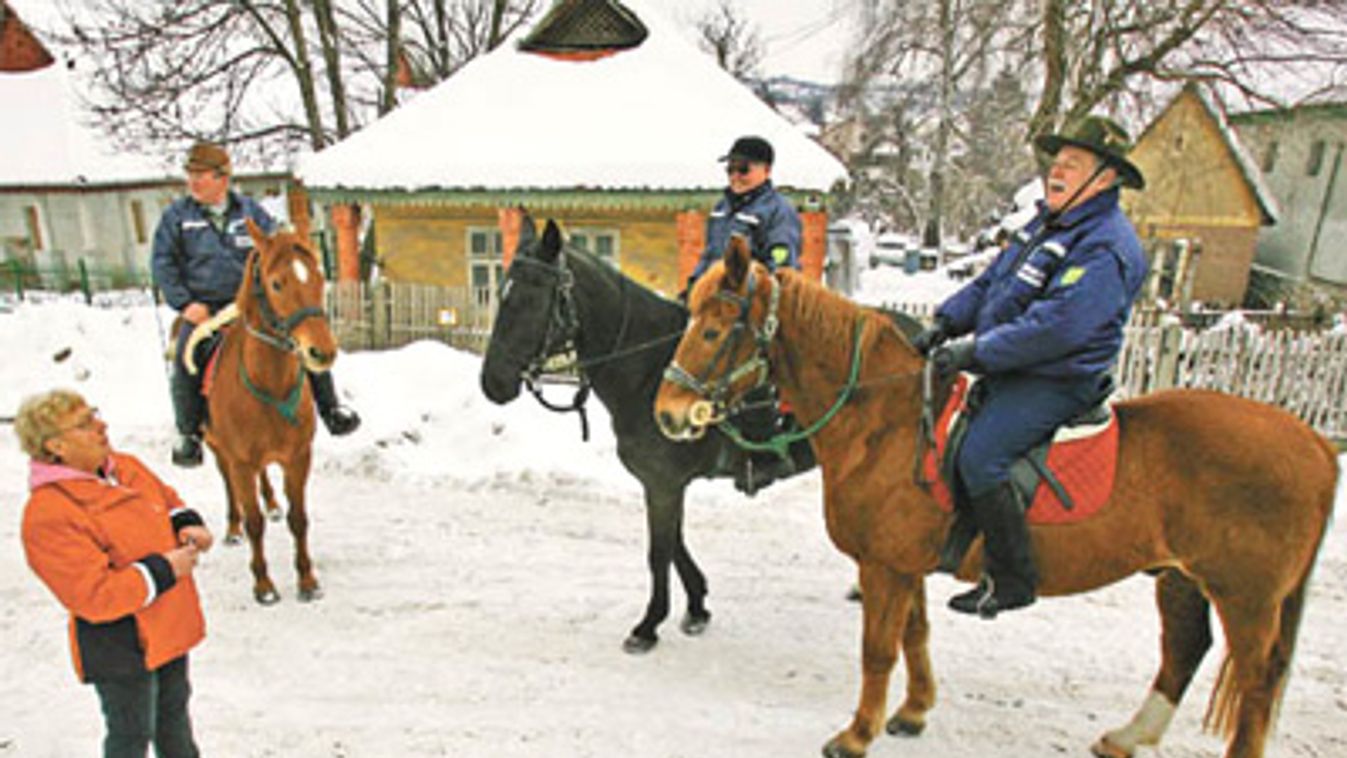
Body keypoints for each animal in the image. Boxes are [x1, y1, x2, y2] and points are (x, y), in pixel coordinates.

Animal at [651, 235, 1336, 758]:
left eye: (713, 331)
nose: (668, 414)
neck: (885, 419)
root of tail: (1315, 444)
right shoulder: (905, 565)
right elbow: (915, 637)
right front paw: (913, 712)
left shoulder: (884, 566)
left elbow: (878, 649)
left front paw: (856, 735)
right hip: (1182, 578)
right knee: (1185, 650)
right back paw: (1126, 736)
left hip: (1246, 598)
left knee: (1255, 685)